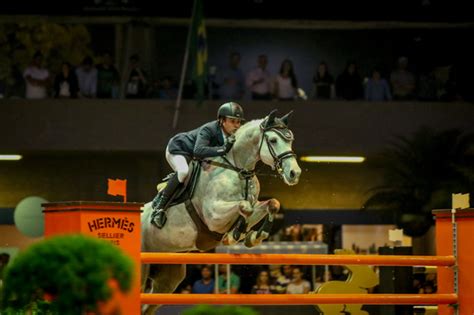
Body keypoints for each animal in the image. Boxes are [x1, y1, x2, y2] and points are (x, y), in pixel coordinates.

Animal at [141, 110, 302, 314]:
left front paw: (254, 236)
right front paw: (236, 235)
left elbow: (272, 203)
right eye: (273, 140)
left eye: (291, 140)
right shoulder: (214, 216)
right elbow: (244, 207)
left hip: (168, 276)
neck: (238, 168)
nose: (294, 173)